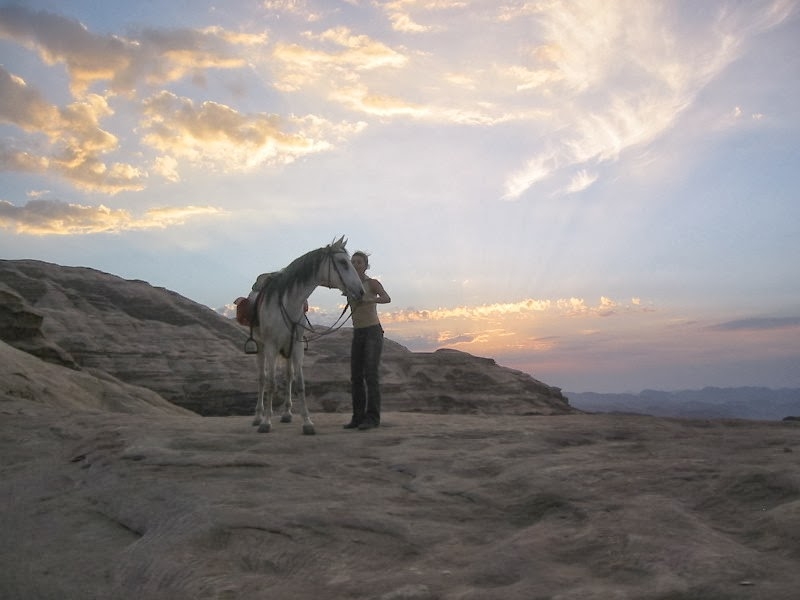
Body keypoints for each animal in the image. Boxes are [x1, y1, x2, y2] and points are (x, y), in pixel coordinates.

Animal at [252, 236, 364, 436]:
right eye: (343, 262)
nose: (361, 291)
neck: (288, 302)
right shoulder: (271, 345)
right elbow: (271, 383)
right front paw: (266, 422)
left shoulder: (296, 346)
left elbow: (300, 383)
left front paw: (307, 422)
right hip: (261, 346)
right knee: (262, 378)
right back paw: (258, 416)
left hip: (287, 348)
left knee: (288, 376)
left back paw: (286, 413)